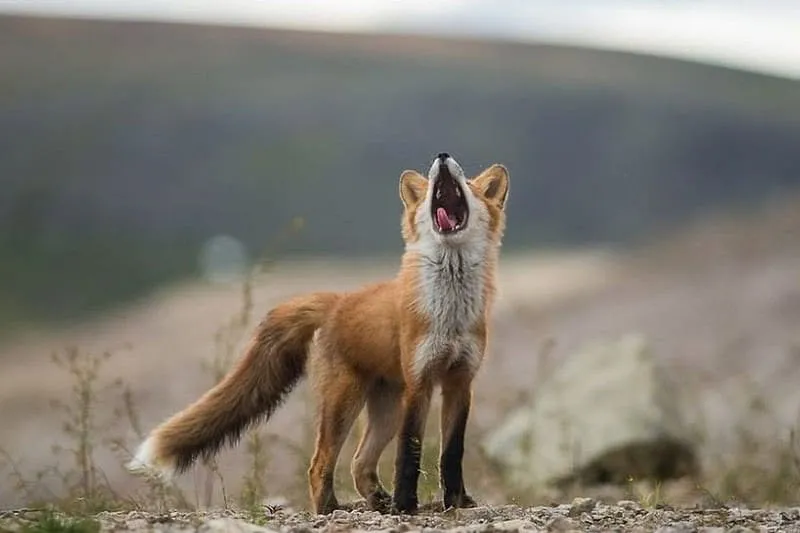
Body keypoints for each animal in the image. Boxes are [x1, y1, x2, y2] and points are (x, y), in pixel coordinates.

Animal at [127, 153, 510, 515]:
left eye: (468, 184)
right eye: (433, 182)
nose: (442, 156)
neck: (451, 315)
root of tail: (338, 300)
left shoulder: (460, 380)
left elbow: (452, 452)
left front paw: (456, 501)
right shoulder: (420, 382)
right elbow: (410, 452)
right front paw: (405, 505)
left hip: (385, 410)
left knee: (358, 463)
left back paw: (377, 502)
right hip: (345, 403)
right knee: (319, 464)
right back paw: (331, 509)